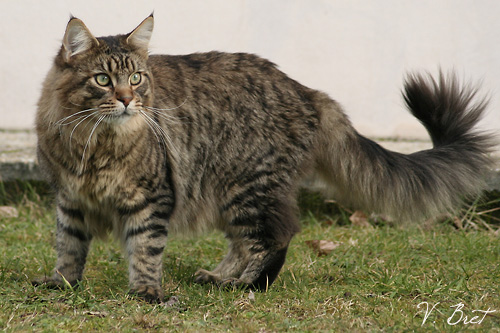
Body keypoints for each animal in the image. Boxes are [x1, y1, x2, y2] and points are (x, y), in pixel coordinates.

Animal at [34, 14, 492, 300]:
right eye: (102, 80)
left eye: (135, 78)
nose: (128, 100)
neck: (94, 144)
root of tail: (306, 91)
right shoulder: (69, 199)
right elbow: (69, 245)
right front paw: (63, 283)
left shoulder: (153, 197)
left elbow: (145, 249)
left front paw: (147, 292)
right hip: (228, 191)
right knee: (243, 241)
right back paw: (218, 276)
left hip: (249, 186)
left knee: (274, 236)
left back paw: (241, 286)